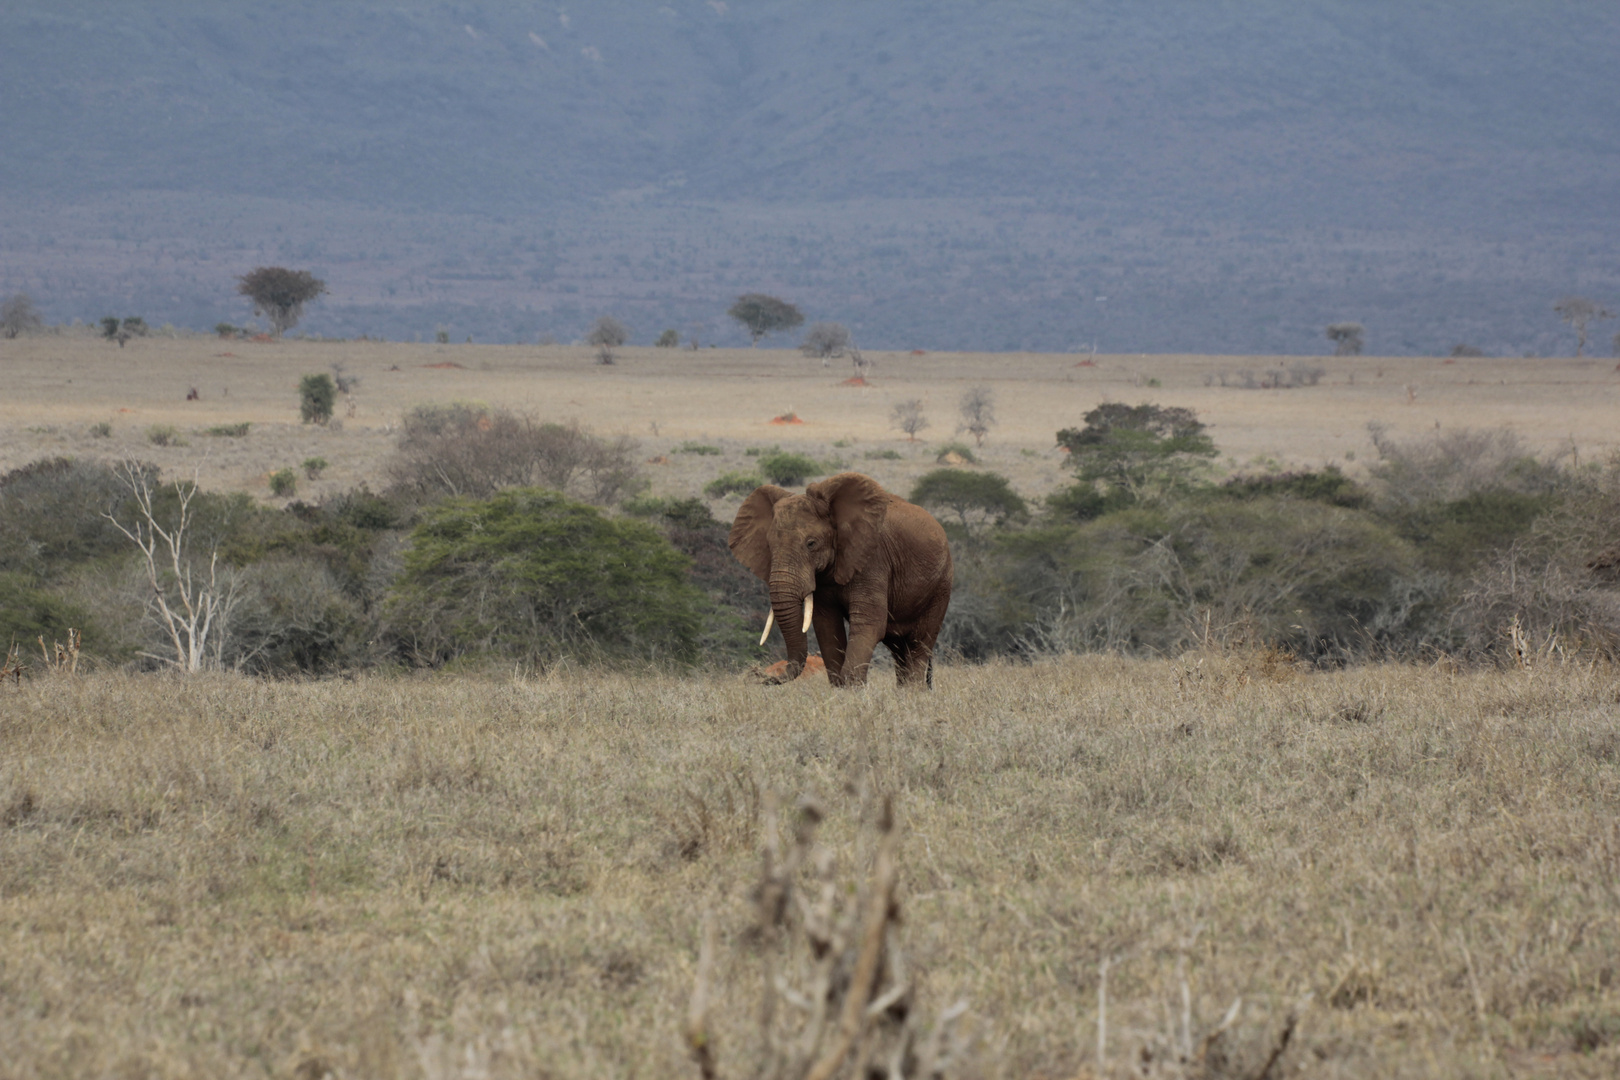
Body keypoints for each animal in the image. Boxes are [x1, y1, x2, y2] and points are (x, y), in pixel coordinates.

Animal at [732, 469, 952, 683]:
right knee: (898, 649)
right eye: (769, 546)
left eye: (811, 544)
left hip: (941, 585)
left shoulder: (873, 559)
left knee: (918, 644)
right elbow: (827, 626)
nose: (755, 673)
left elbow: (869, 624)